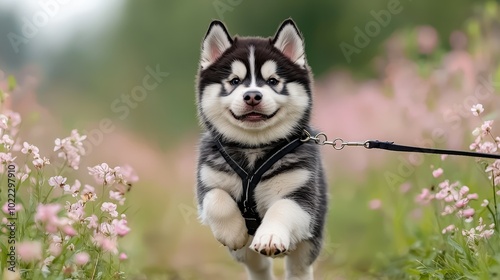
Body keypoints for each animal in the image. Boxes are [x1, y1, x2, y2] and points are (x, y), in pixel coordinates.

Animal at [195, 19, 328, 280]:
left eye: (273, 81)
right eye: (235, 81)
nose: (252, 96)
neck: (254, 150)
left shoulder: (302, 195)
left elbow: (282, 208)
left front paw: (270, 236)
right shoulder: (207, 181)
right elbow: (216, 199)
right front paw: (232, 232)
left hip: (311, 236)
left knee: (299, 267)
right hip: (246, 255)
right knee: (258, 267)